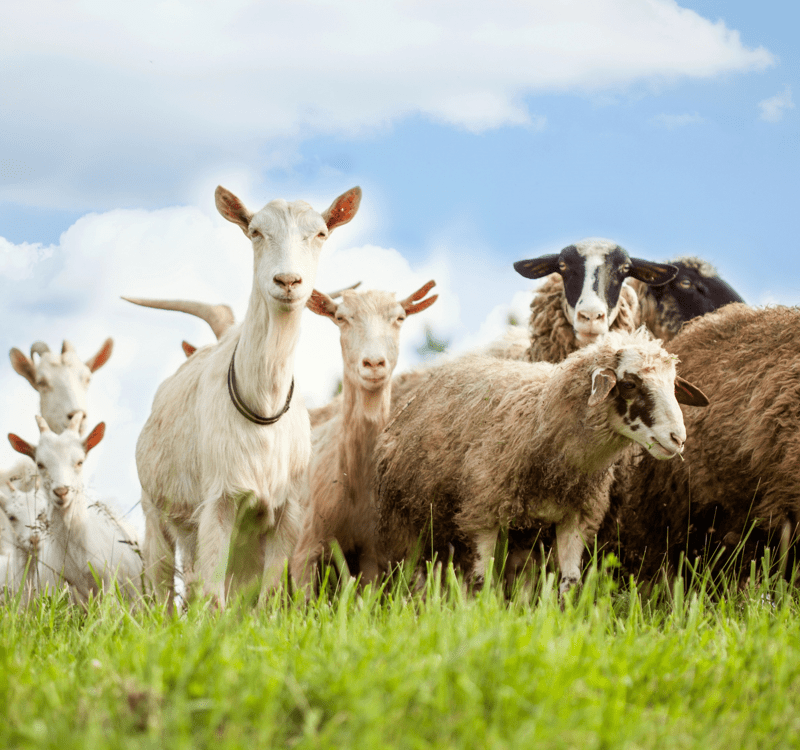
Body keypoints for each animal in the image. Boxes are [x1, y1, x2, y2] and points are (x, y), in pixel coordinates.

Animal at [134, 185, 362, 607]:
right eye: (255, 231)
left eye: (321, 233)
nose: (287, 281)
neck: (263, 405)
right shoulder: (218, 504)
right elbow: (211, 596)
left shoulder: (287, 512)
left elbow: (268, 595)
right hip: (158, 514)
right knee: (163, 586)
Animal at [375, 328, 708, 597]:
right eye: (629, 384)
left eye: (673, 385)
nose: (678, 438)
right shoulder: (481, 515)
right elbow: (481, 581)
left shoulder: (575, 518)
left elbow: (569, 583)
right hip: (406, 520)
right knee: (411, 573)